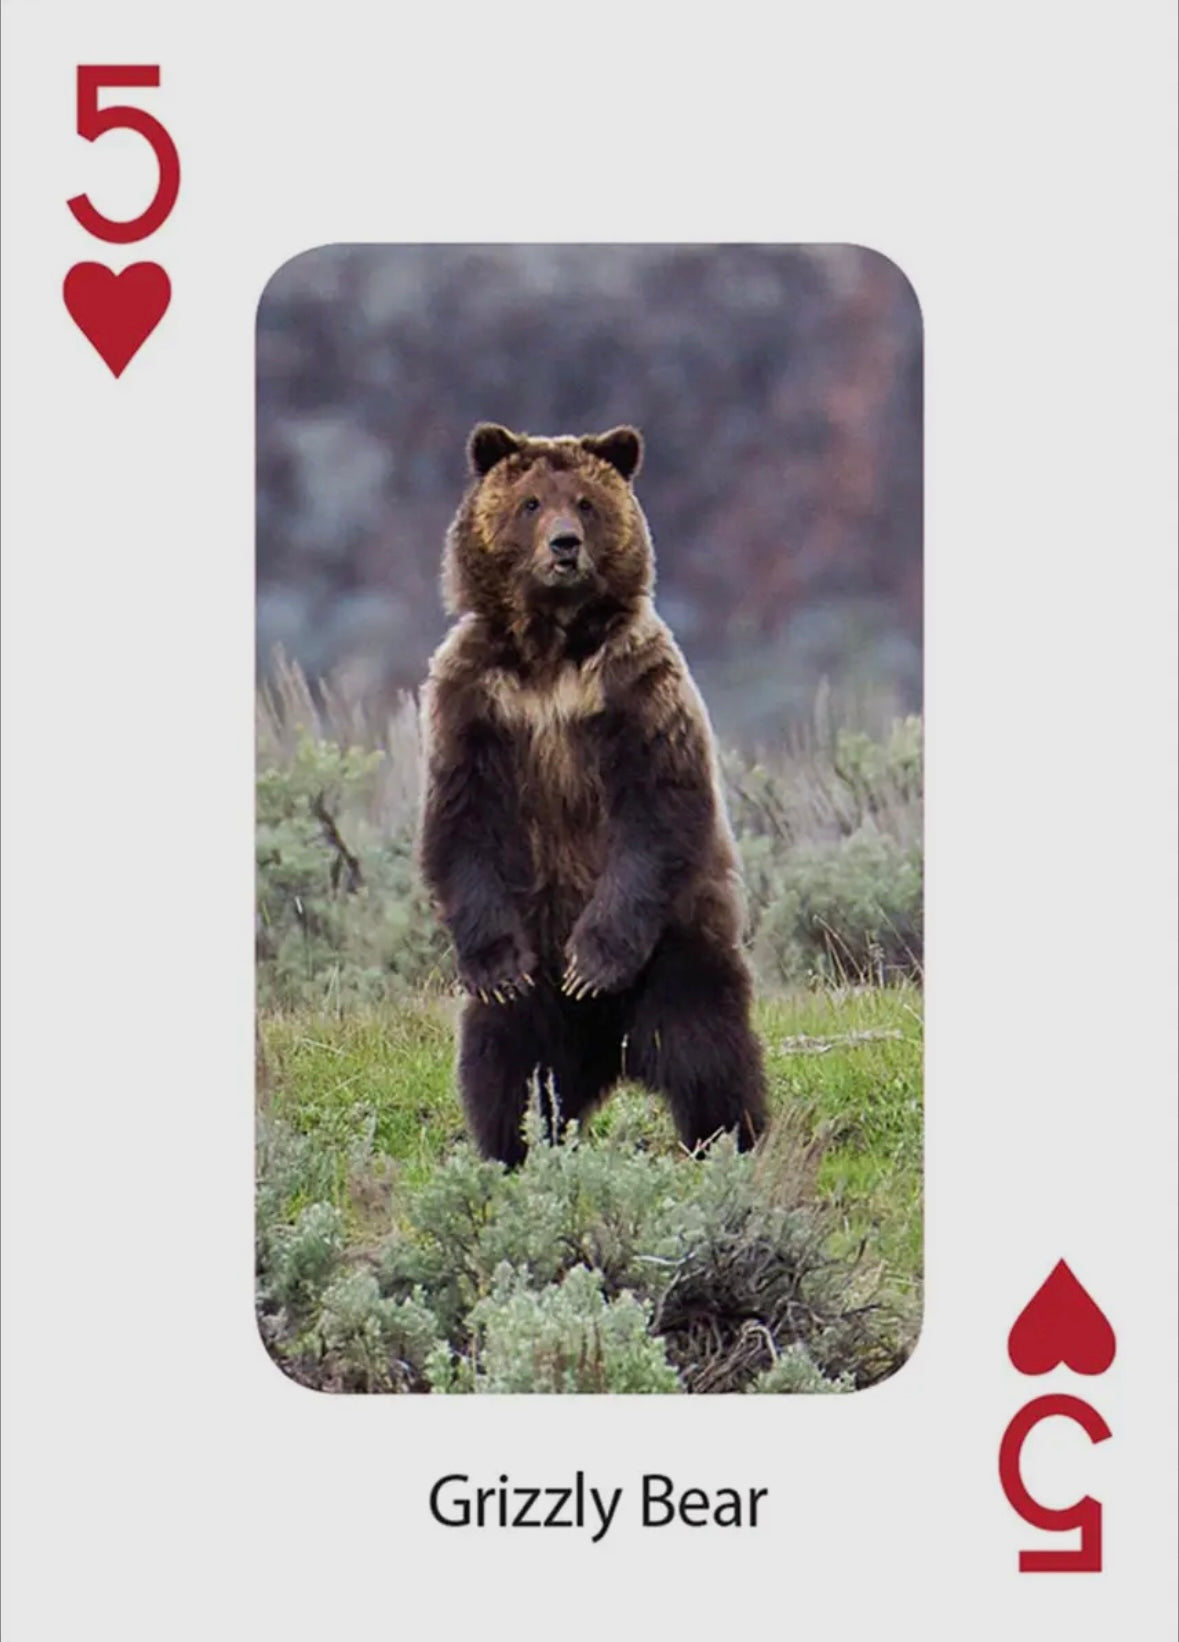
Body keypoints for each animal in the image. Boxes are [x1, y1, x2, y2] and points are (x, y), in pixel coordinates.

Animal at [417, 422, 767, 1166]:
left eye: (585, 501)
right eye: (530, 503)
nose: (564, 545)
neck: (551, 654)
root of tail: (610, 1053)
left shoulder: (636, 689)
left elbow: (657, 811)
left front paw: (591, 964)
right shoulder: (475, 702)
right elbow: (460, 824)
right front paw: (498, 968)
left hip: (678, 952)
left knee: (708, 1052)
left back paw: (728, 1142)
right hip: (537, 989)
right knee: (508, 1066)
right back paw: (512, 1150)